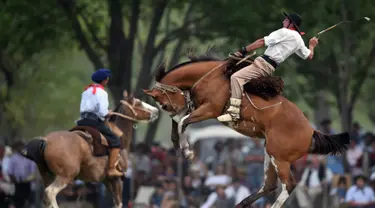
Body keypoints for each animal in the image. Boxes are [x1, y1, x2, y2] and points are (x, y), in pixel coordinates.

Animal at [144, 11, 352, 208]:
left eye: (163, 102)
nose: (174, 107)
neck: (212, 76)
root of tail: (311, 131)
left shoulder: (209, 110)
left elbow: (182, 121)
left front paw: (188, 152)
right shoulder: (195, 107)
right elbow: (179, 121)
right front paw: (177, 145)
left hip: (280, 158)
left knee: (289, 185)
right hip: (270, 153)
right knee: (269, 185)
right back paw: (241, 203)